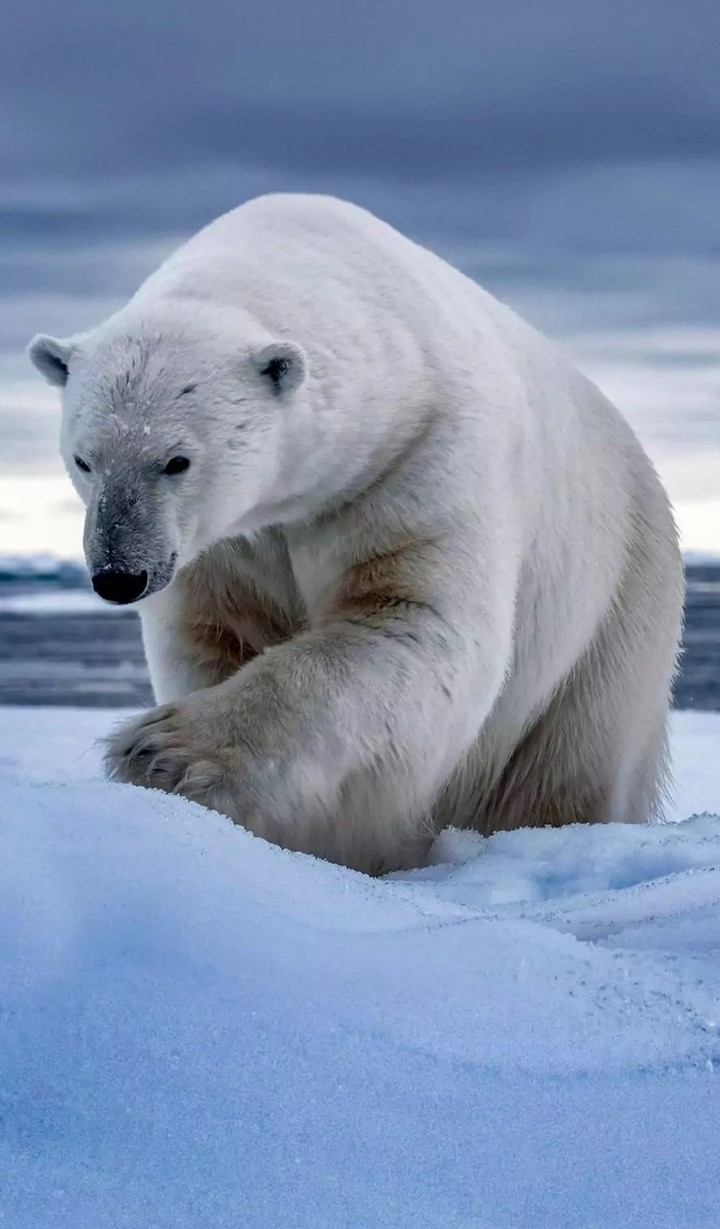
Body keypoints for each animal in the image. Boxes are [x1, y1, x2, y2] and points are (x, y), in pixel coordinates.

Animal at [28, 193, 684, 875]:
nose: (119, 575)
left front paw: (160, 752)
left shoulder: (415, 459)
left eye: (176, 460)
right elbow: (214, 631)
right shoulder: (225, 545)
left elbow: (408, 618)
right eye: (84, 459)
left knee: (573, 758)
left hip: (613, 607)